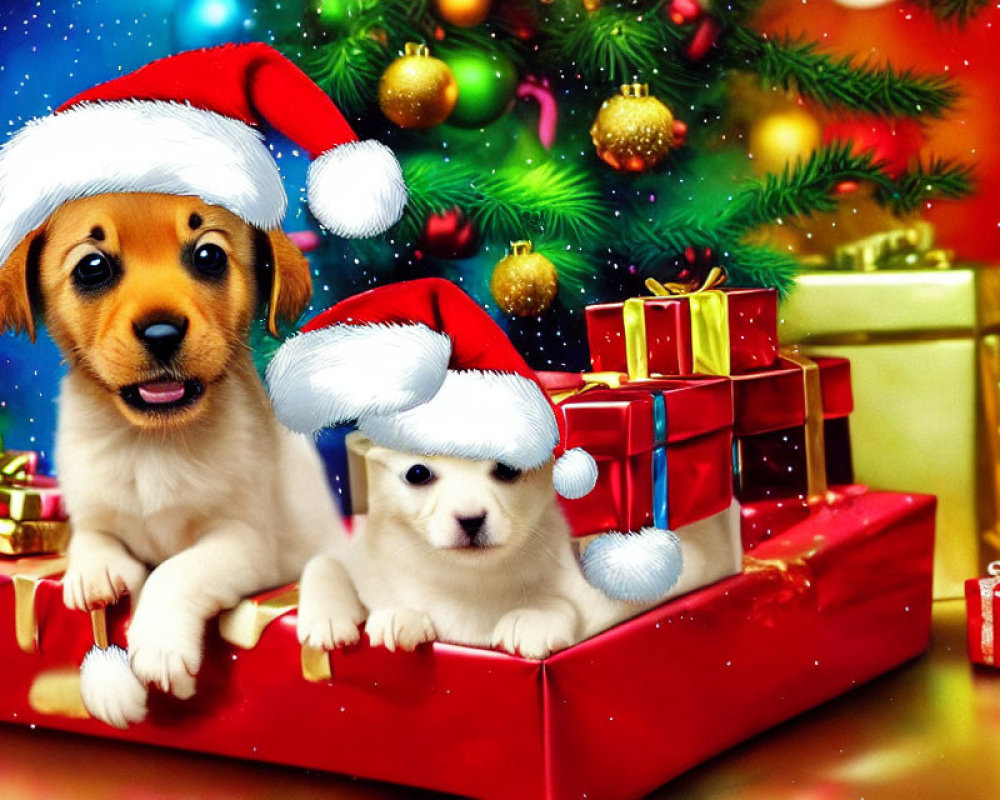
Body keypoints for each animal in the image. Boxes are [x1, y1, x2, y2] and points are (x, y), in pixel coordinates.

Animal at [0, 192, 344, 724]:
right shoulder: (91, 508)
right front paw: (95, 573)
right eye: (92, 267)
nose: (161, 332)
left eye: (209, 256)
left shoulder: (246, 543)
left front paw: (161, 649)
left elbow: (176, 571)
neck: (151, 445)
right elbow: (90, 538)